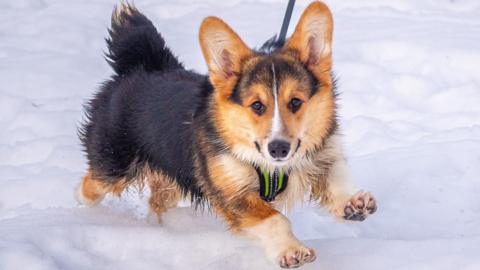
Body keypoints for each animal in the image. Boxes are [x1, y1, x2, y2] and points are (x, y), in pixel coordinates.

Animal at [78, 1, 378, 268]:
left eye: (295, 102)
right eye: (257, 106)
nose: (279, 149)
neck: (273, 168)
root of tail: (141, 67)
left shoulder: (321, 158)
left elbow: (335, 180)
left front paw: (353, 204)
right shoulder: (232, 192)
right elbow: (274, 219)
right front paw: (291, 251)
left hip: (173, 178)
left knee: (157, 203)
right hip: (114, 167)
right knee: (89, 185)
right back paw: (81, 210)